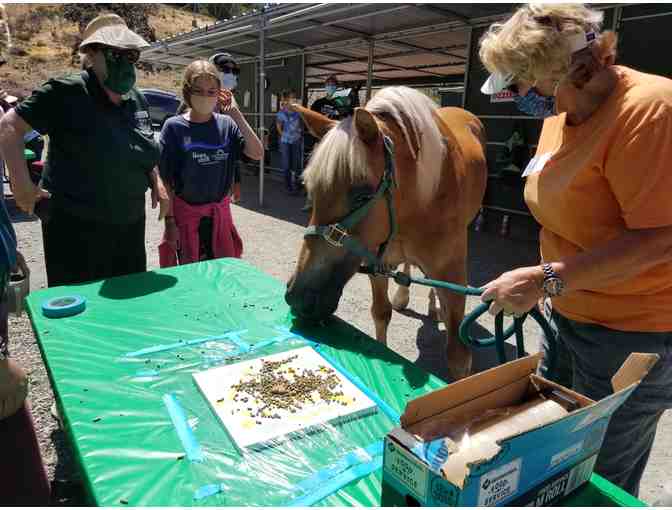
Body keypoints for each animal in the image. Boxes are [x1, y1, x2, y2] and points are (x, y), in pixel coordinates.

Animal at [284, 85, 488, 378]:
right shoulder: (377, 260)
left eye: (361, 196)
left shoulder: (452, 272)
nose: (297, 297)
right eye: (309, 190)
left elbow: (458, 356)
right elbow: (381, 314)